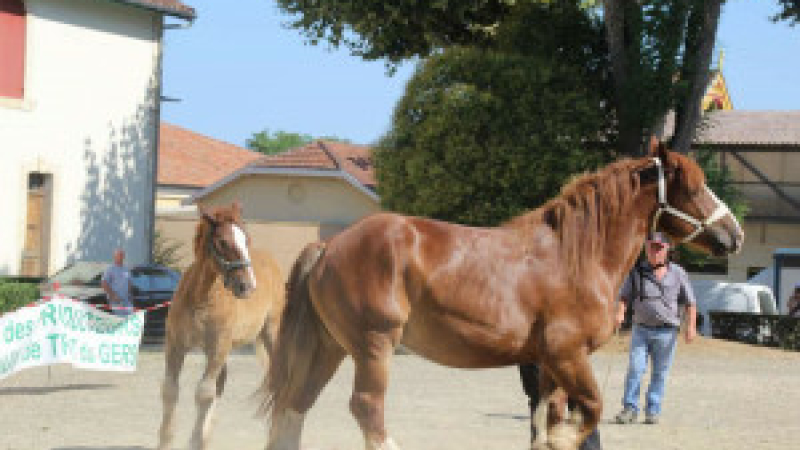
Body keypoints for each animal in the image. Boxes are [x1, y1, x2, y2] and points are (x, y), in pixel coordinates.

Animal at [157, 202, 285, 450]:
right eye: (223, 242)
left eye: (247, 239)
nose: (247, 286)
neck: (200, 297)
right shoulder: (176, 345)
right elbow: (170, 390)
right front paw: (165, 440)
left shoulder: (218, 347)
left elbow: (204, 393)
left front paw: (195, 442)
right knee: (220, 385)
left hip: (271, 335)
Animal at [260, 140, 744, 450]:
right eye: (695, 187)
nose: (734, 234)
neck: (575, 256)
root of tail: (329, 247)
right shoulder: (568, 355)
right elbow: (586, 412)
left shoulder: (548, 365)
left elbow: (546, 424)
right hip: (373, 345)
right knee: (366, 410)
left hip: (329, 347)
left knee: (295, 408)